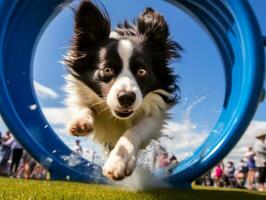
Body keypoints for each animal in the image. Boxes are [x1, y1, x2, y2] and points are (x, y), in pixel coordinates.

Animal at [63, 0, 182, 180]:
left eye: (142, 71)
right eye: (107, 70)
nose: (126, 97)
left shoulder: (156, 113)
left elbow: (134, 130)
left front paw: (119, 161)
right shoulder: (80, 93)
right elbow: (83, 107)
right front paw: (81, 122)